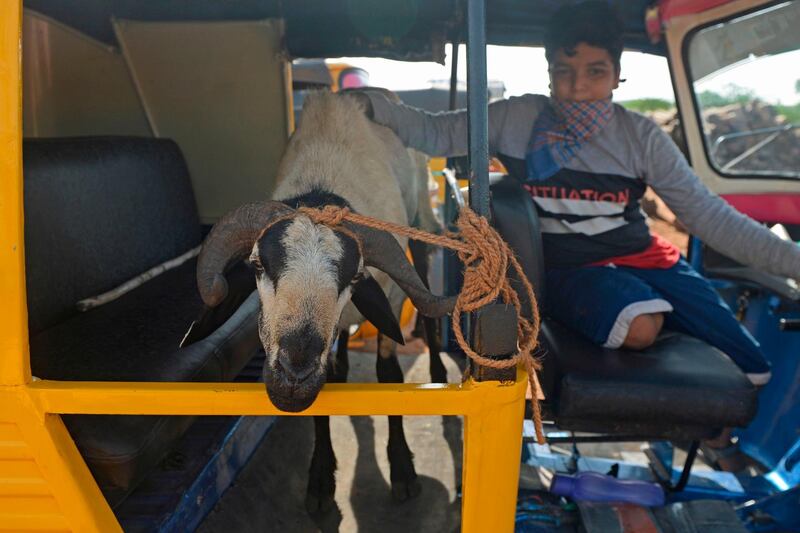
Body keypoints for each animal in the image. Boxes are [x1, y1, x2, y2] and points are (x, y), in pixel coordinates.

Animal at [195, 92, 456, 516]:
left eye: (355, 276)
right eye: (256, 264)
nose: (293, 377)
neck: (323, 180)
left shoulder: (391, 293)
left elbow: (389, 375)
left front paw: (402, 469)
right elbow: (330, 384)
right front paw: (319, 477)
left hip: (421, 221)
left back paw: (438, 373)